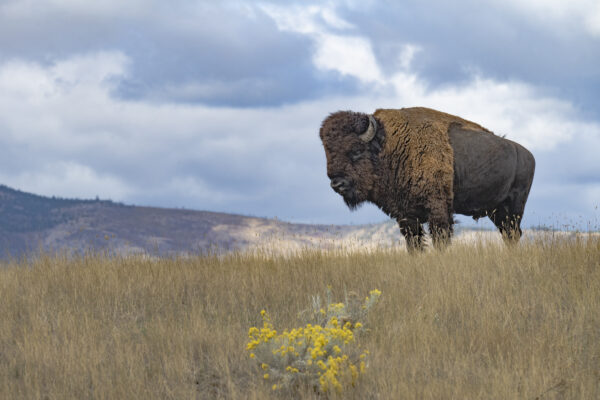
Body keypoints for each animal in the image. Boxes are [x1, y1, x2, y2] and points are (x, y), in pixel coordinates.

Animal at [322, 106, 536, 250]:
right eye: (328, 152)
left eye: (356, 150)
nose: (337, 184)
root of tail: (527, 154)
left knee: (513, 233)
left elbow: (440, 240)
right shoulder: (406, 216)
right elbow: (414, 245)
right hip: (496, 211)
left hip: (514, 206)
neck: (388, 147)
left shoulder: (438, 209)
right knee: (508, 234)